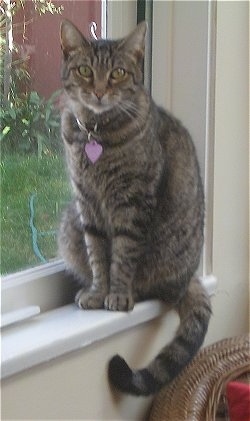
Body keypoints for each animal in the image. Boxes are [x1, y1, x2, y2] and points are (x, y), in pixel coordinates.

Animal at [58, 18, 211, 394]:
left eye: (118, 74)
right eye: (85, 71)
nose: (99, 91)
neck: (95, 134)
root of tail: (189, 277)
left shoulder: (133, 204)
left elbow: (123, 256)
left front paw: (117, 294)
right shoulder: (87, 205)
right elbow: (98, 254)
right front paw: (98, 291)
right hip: (69, 225)